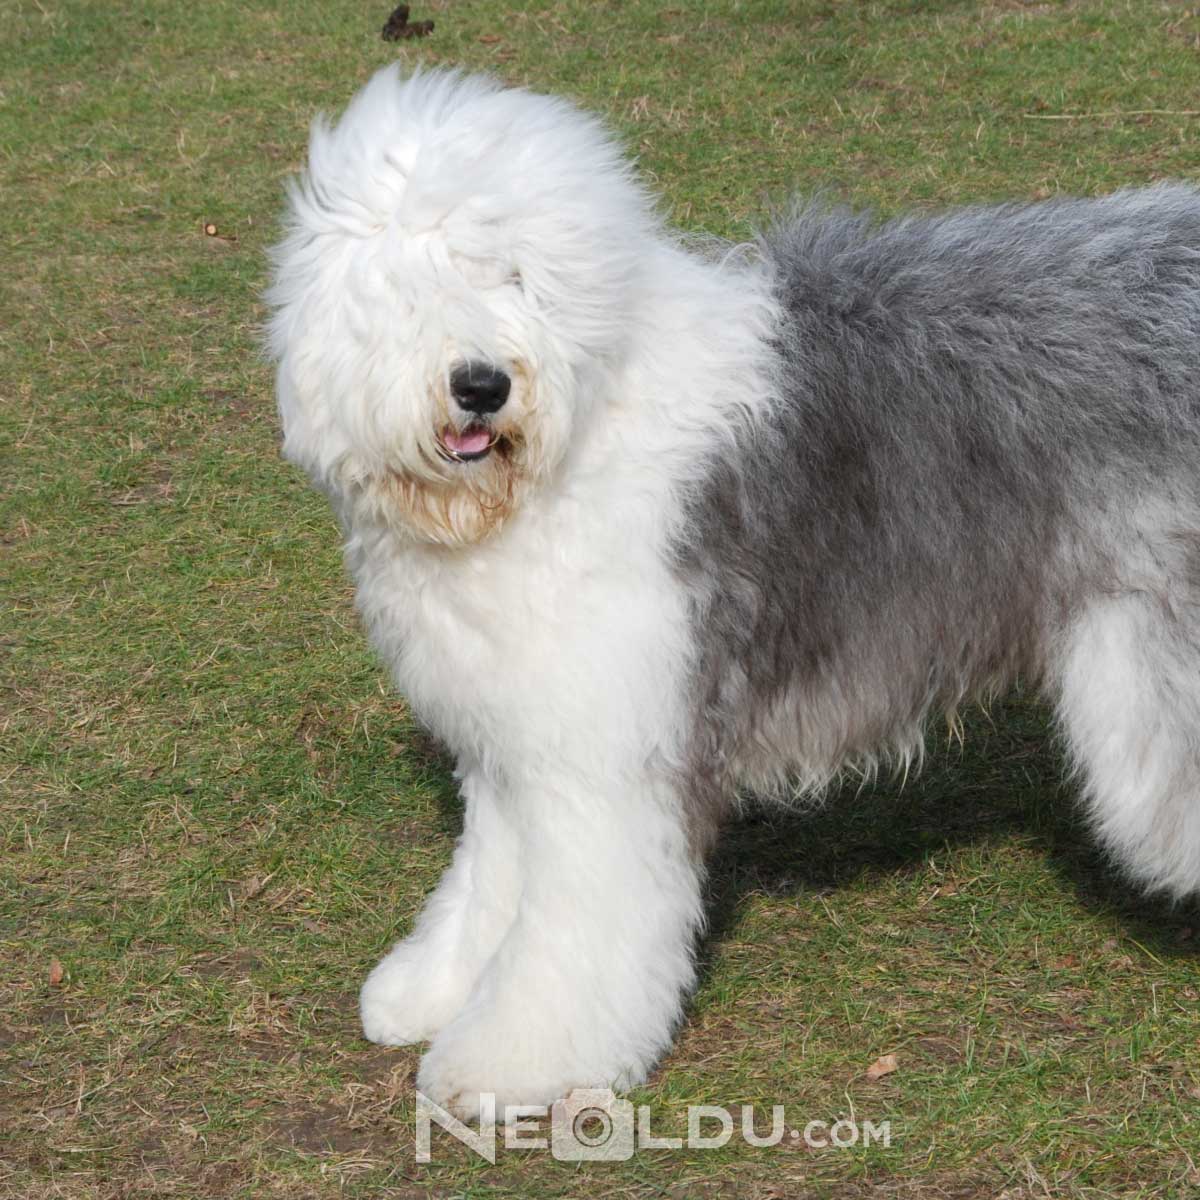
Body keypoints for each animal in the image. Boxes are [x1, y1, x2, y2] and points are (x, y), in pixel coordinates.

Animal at [267, 65, 1200, 1113]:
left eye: (515, 278)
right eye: (412, 285)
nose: (480, 385)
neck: (580, 435)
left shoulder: (613, 758)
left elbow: (573, 932)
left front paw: (510, 1060)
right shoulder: (522, 734)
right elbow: (490, 880)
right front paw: (430, 989)